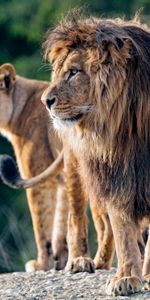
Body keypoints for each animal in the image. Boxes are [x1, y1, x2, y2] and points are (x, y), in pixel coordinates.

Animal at [0, 63, 67, 272]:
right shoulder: (62, 180)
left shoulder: (39, 179)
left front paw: (42, 264)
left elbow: (42, 224)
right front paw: (61, 261)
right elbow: (62, 222)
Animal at [41, 16, 150, 296]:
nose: (45, 101)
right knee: (77, 217)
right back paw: (82, 261)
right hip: (75, 167)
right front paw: (126, 277)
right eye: (59, 72)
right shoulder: (117, 177)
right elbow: (122, 231)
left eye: (73, 72)